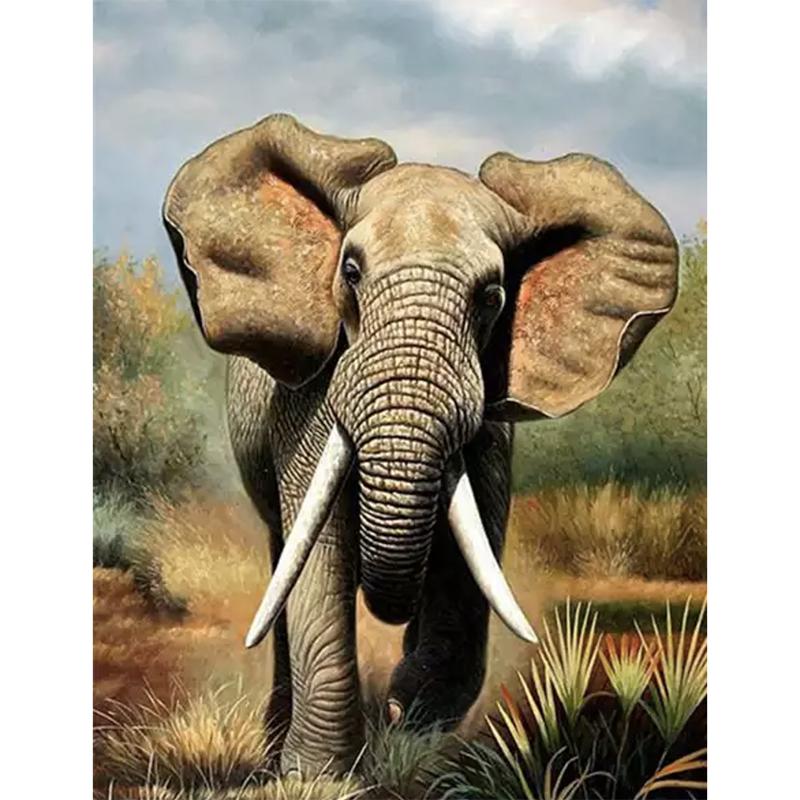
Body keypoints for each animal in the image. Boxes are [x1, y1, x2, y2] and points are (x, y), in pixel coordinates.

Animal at [162, 113, 678, 776]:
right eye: (350, 272)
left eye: (492, 295)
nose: (393, 706)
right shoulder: (308, 402)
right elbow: (320, 554)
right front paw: (317, 777)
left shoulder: (490, 425)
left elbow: (469, 554)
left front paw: (408, 721)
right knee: (284, 555)